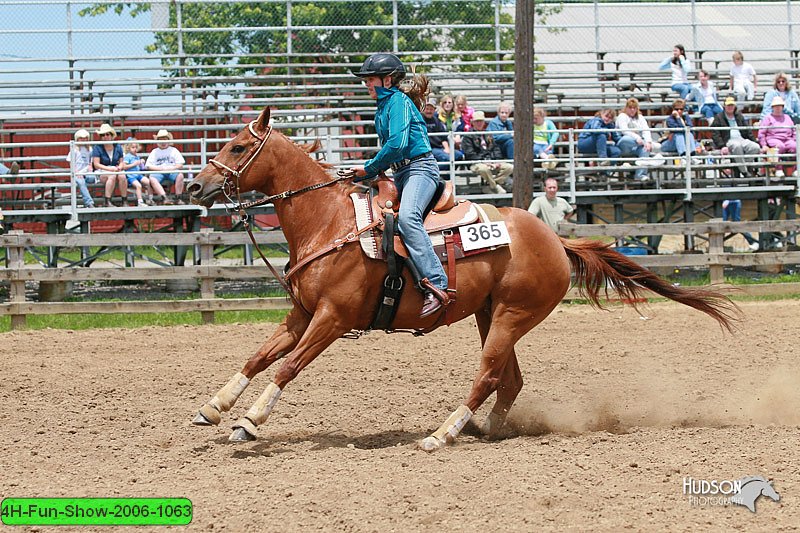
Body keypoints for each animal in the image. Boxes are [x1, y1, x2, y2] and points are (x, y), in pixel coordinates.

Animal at [188, 108, 736, 448]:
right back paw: (484, 429)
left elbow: (287, 368)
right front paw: (213, 408)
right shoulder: (302, 313)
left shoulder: (333, 319)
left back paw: (443, 433)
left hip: (513, 315)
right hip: (490, 315)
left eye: (238, 146)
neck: (330, 220)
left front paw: (249, 423)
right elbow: (258, 357)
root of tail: (556, 241)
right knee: (510, 379)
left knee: (489, 375)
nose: (194, 184)